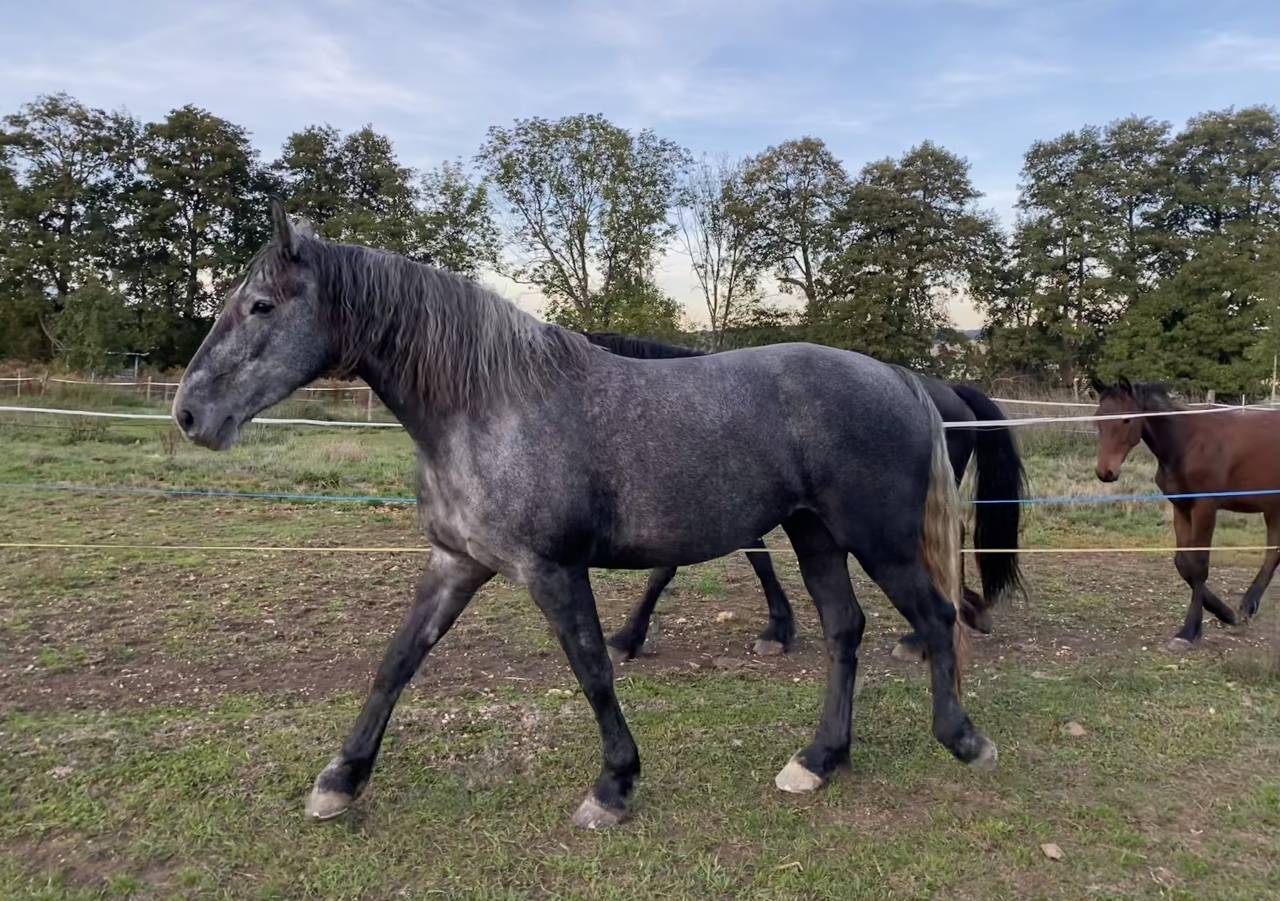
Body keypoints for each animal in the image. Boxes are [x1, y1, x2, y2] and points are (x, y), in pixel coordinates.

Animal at [581, 332, 1025, 664]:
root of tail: (947, 392)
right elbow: (756, 559)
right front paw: (778, 628)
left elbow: (666, 570)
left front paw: (626, 638)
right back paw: (969, 610)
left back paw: (925, 636)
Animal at [1094, 378, 1280, 650]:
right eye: (1098, 418)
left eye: (1127, 420)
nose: (1105, 472)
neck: (1187, 444)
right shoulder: (1181, 507)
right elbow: (1183, 563)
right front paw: (1225, 613)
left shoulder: (1205, 507)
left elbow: (1199, 565)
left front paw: (1188, 631)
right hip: (1273, 508)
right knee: (1273, 555)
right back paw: (1246, 608)